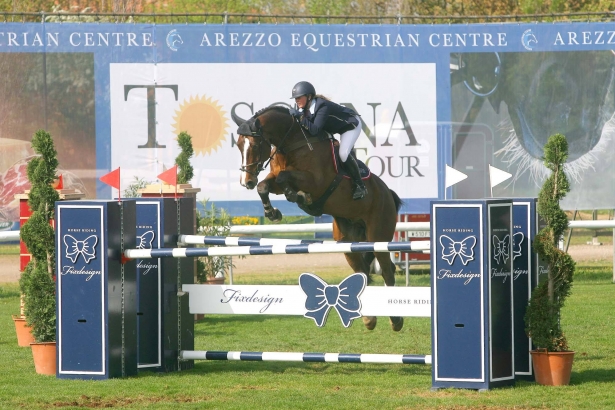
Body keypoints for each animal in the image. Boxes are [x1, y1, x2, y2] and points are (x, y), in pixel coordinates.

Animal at [233, 104, 406, 332]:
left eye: (254, 144)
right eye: (238, 145)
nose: (246, 181)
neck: (291, 143)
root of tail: (387, 193)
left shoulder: (316, 182)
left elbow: (285, 178)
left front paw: (299, 197)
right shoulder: (276, 180)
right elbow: (266, 185)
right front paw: (273, 212)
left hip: (378, 236)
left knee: (387, 270)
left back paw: (396, 320)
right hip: (347, 243)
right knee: (362, 273)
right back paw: (369, 319)